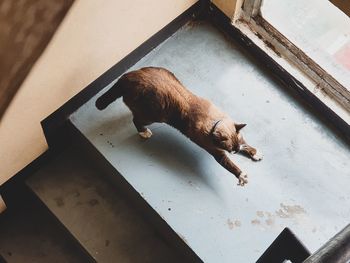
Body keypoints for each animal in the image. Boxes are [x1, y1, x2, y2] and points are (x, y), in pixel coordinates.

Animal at [96, 68, 262, 188]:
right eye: (230, 151)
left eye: (236, 148)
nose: (236, 151)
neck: (215, 121)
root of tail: (126, 77)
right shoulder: (216, 152)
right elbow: (229, 165)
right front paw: (241, 175)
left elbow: (246, 145)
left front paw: (255, 153)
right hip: (152, 116)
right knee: (136, 120)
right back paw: (144, 132)